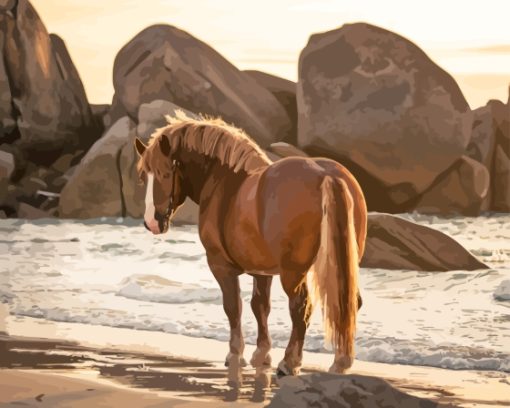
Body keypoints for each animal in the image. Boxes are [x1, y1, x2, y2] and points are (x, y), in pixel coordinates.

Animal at [135, 112, 366, 386]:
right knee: (347, 302)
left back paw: (290, 363)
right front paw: (261, 354)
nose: (151, 222)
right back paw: (341, 361)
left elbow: (233, 306)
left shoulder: (221, 266)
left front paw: (235, 354)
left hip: (293, 273)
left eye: (164, 173)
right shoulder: (262, 271)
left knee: (301, 308)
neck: (226, 180)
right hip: (342, 265)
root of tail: (326, 175)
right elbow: (260, 307)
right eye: (143, 177)